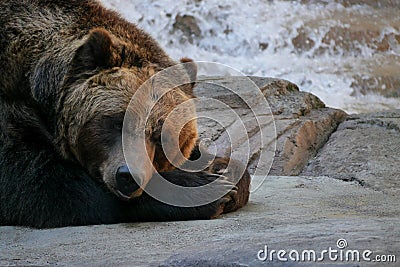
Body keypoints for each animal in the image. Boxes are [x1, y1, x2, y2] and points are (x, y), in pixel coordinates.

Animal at [0, 1, 250, 229]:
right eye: (117, 121)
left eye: (161, 137)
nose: (129, 176)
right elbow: (43, 184)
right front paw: (206, 187)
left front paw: (222, 167)